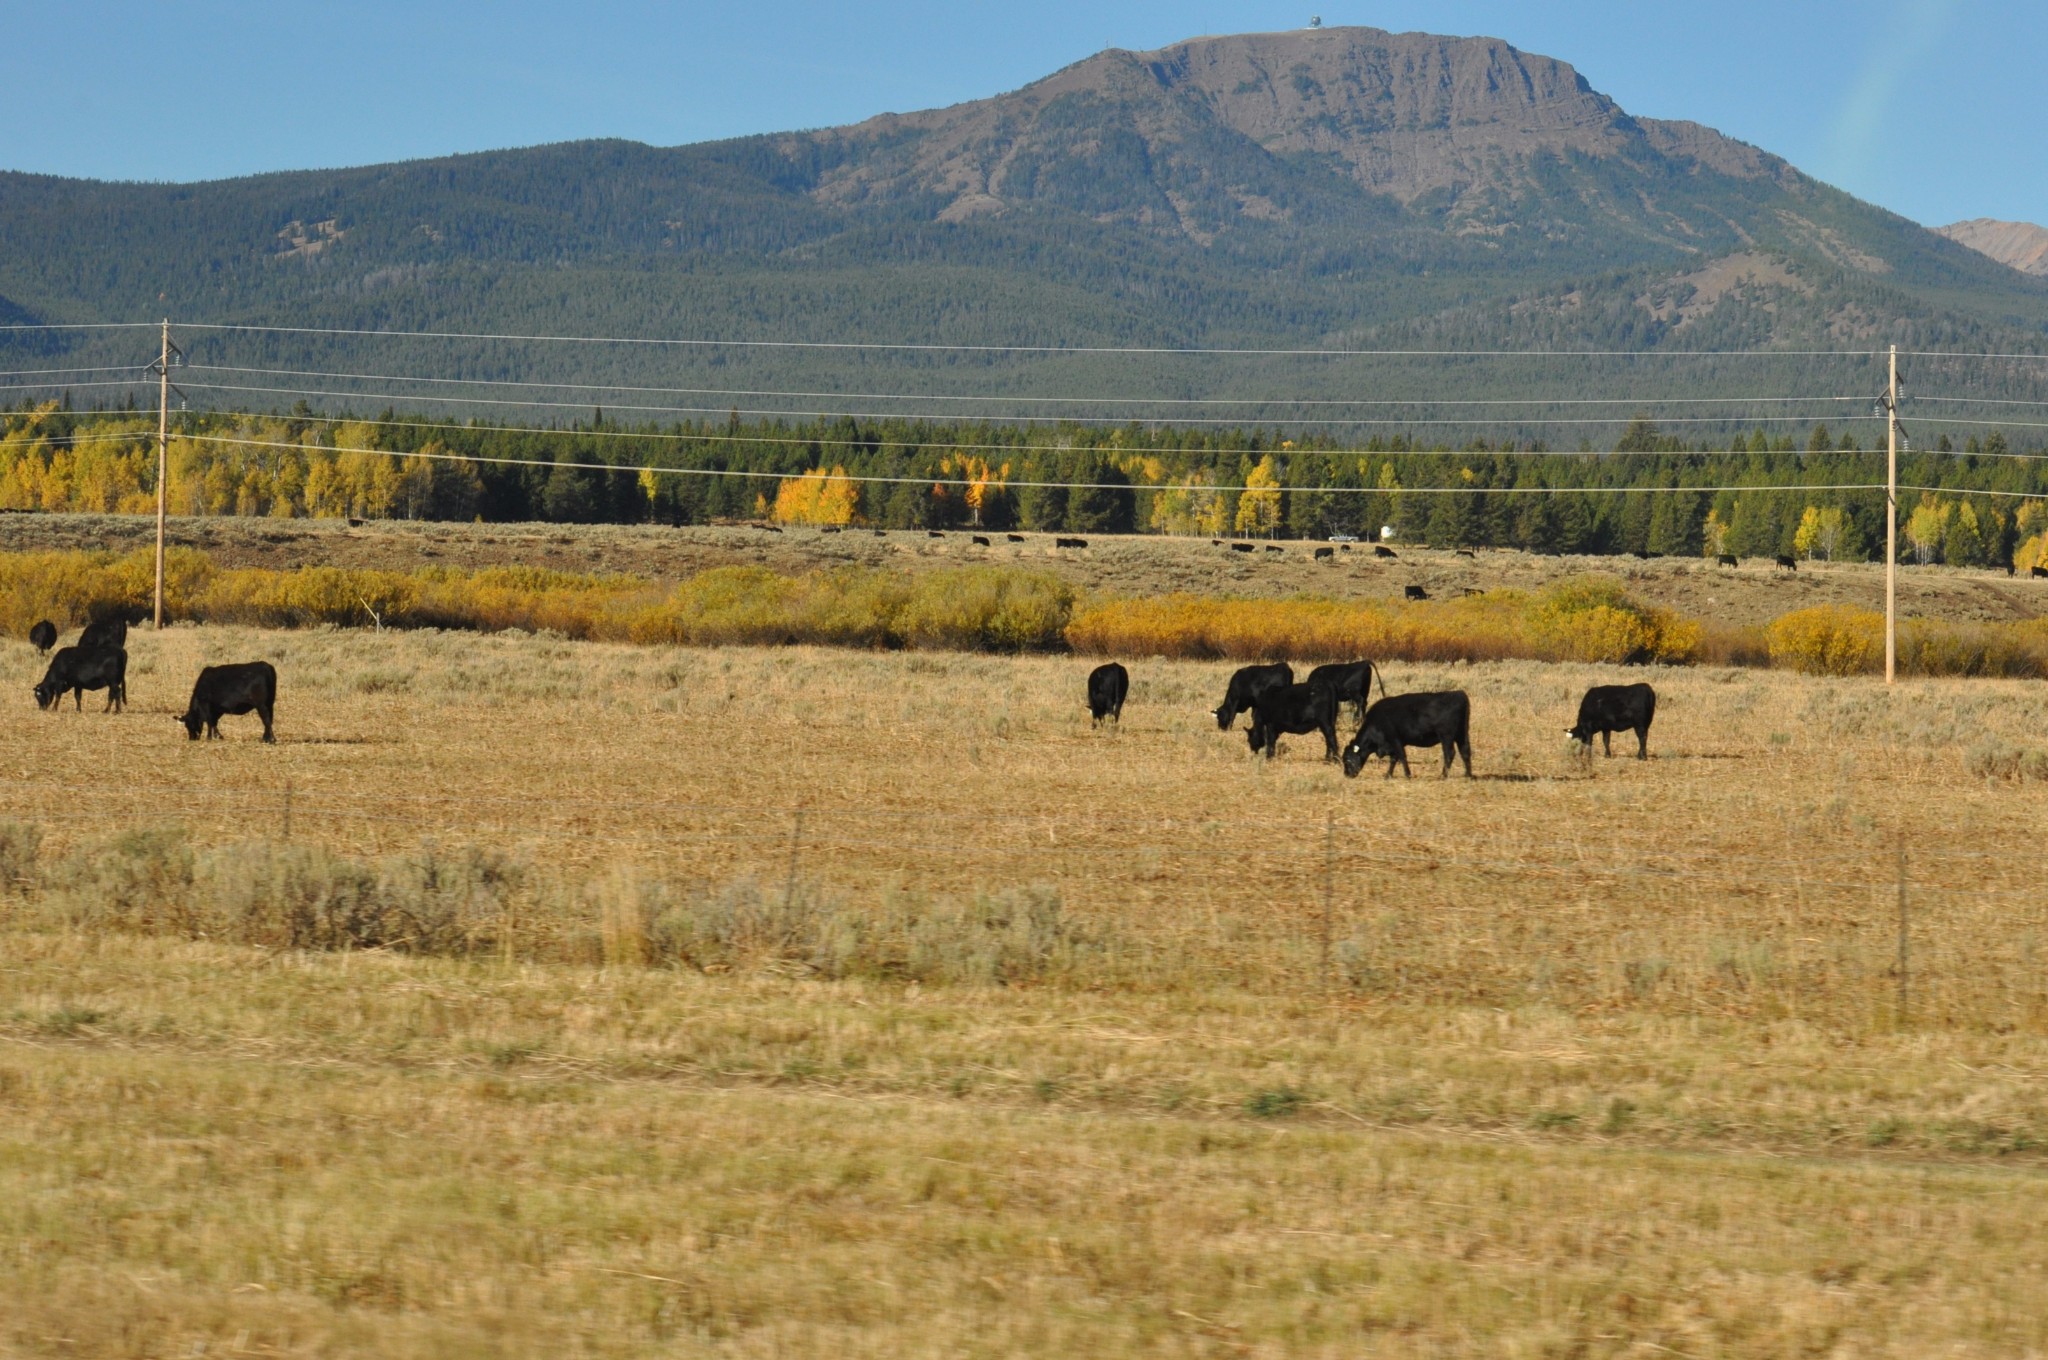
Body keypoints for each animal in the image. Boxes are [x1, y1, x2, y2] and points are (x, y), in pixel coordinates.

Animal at [1343, 696, 1474, 782]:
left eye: (1347, 759)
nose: (1346, 774)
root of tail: (1459, 694)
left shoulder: (1395, 740)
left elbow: (1402, 757)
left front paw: (1407, 775)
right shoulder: (1393, 745)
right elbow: (1394, 759)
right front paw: (1388, 775)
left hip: (1446, 737)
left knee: (1449, 753)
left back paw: (1443, 776)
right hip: (1462, 735)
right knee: (1465, 751)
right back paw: (1468, 775)